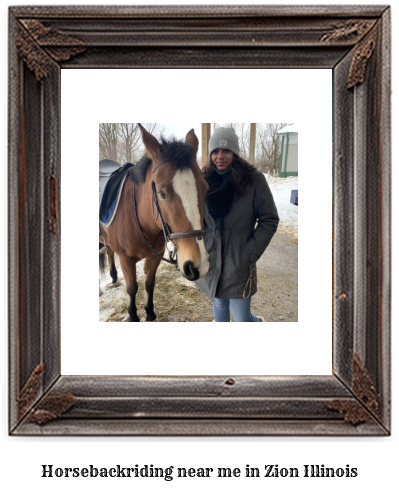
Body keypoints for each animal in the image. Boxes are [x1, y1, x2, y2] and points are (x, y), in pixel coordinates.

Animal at [99, 125, 209, 320]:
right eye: (162, 193)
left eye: (205, 189)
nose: (198, 265)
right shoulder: (126, 260)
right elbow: (132, 288)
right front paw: (133, 316)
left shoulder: (154, 256)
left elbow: (149, 284)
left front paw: (149, 313)